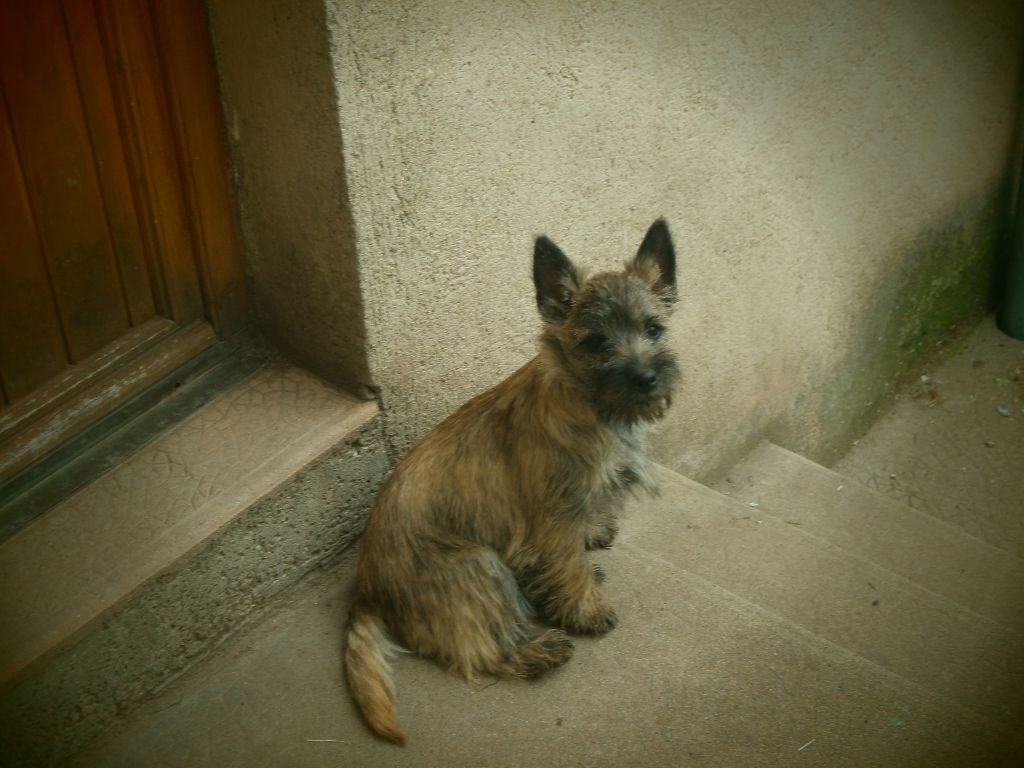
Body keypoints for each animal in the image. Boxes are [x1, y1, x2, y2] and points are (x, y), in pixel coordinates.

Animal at [344, 218, 679, 745]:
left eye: (654, 328)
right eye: (595, 342)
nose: (646, 378)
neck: (591, 406)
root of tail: (366, 590)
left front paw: (590, 544)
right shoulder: (554, 516)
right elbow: (567, 565)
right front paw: (586, 609)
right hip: (477, 565)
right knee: (481, 652)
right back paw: (539, 651)